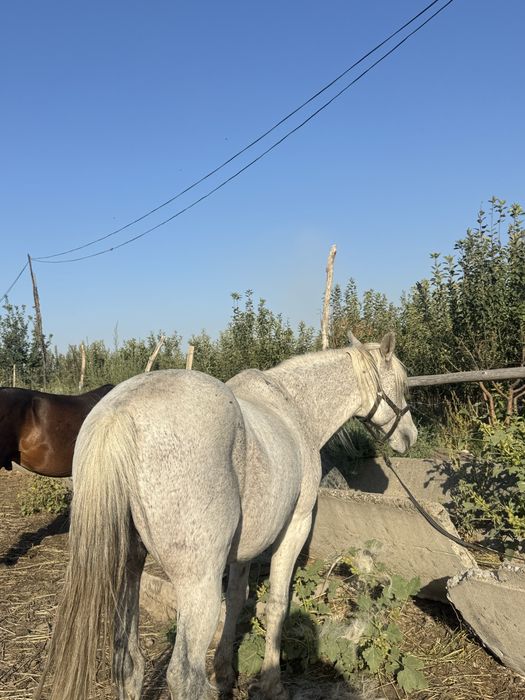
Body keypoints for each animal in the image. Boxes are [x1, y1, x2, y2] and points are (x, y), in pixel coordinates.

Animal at [36, 332, 417, 700]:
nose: (410, 436)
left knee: (128, 662)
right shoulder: (295, 526)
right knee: (183, 678)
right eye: (403, 383)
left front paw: (225, 673)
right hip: (197, 585)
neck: (295, 409)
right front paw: (272, 684)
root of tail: (117, 413)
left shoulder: (243, 548)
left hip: (128, 570)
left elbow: (236, 599)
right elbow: (277, 603)